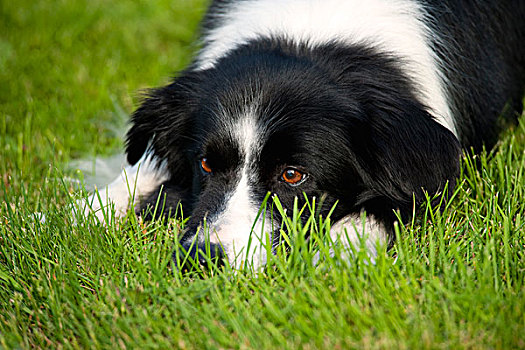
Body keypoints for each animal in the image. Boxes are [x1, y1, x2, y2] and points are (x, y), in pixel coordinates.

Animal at [87, 0, 524, 270]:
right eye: (206, 164)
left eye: (293, 175)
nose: (203, 259)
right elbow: (135, 173)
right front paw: (81, 212)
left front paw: (340, 253)